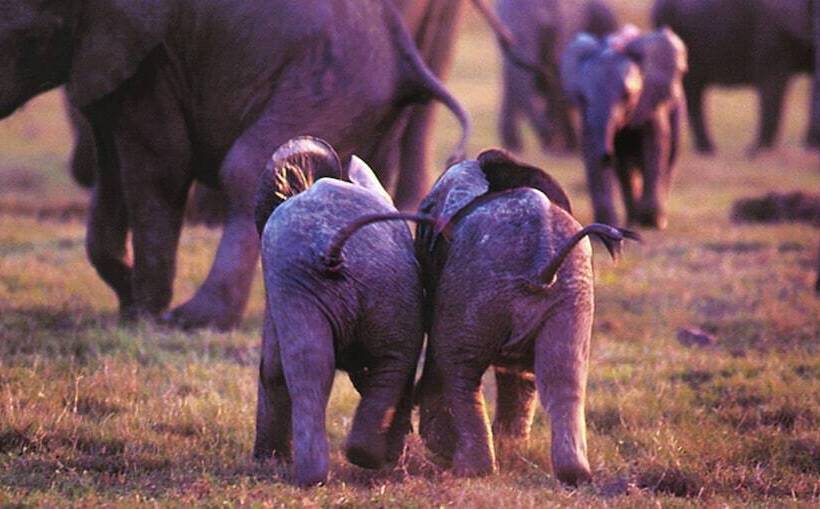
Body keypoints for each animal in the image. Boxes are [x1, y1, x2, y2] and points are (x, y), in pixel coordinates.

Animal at [0, 0, 470, 330]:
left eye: (20, 35)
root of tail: (406, 54)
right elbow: (112, 169)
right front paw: (128, 301)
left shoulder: (149, 55)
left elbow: (159, 168)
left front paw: (144, 316)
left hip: (328, 85)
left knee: (248, 170)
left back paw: (196, 320)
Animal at [251, 137, 426, 486]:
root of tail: (333, 249)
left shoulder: (276, 282)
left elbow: (273, 368)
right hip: (388, 289)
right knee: (387, 363)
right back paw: (364, 459)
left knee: (311, 365)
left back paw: (316, 475)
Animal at [412, 149, 638, 484]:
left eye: (426, 209)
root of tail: (541, 265)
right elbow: (522, 372)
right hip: (571, 297)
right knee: (564, 376)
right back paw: (572, 475)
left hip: (480, 284)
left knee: (459, 368)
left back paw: (471, 470)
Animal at [561, 27, 688, 229]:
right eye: (583, 97)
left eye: (626, 95)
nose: (607, 155)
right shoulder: (586, 115)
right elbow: (589, 147)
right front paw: (607, 225)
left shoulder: (651, 98)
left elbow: (656, 142)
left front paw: (650, 222)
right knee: (624, 170)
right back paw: (631, 220)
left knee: (668, 156)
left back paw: (656, 220)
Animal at [653, 0, 819, 154]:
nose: (811, 146)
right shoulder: (770, 30)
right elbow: (773, 80)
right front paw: (756, 152)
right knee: (693, 90)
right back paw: (708, 150)